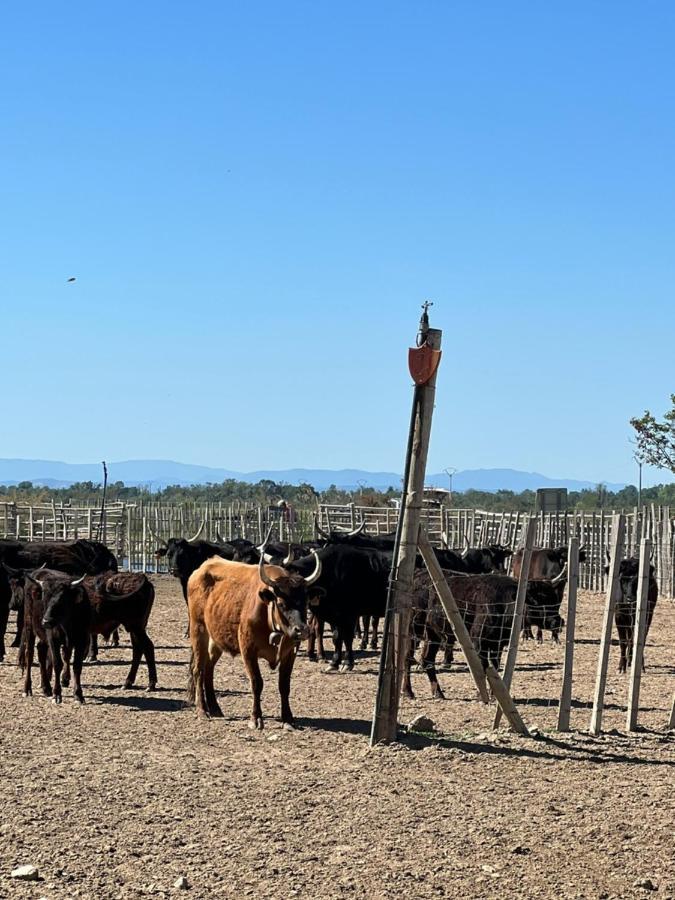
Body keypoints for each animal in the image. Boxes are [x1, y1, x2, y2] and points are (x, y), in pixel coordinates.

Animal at [185, 540, 322, 732]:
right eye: (281, 603)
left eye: (306, 602)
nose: (301, 630)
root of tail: (201, 569)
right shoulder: (248, 650)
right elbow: (257, 683)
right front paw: (256, 718)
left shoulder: (290, 653)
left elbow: (284, 685)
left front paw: (288, 718)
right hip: (198, 631)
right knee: (199, 669)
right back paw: (202, 710)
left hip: (216, 639)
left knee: (208, 668)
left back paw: (215, 707)